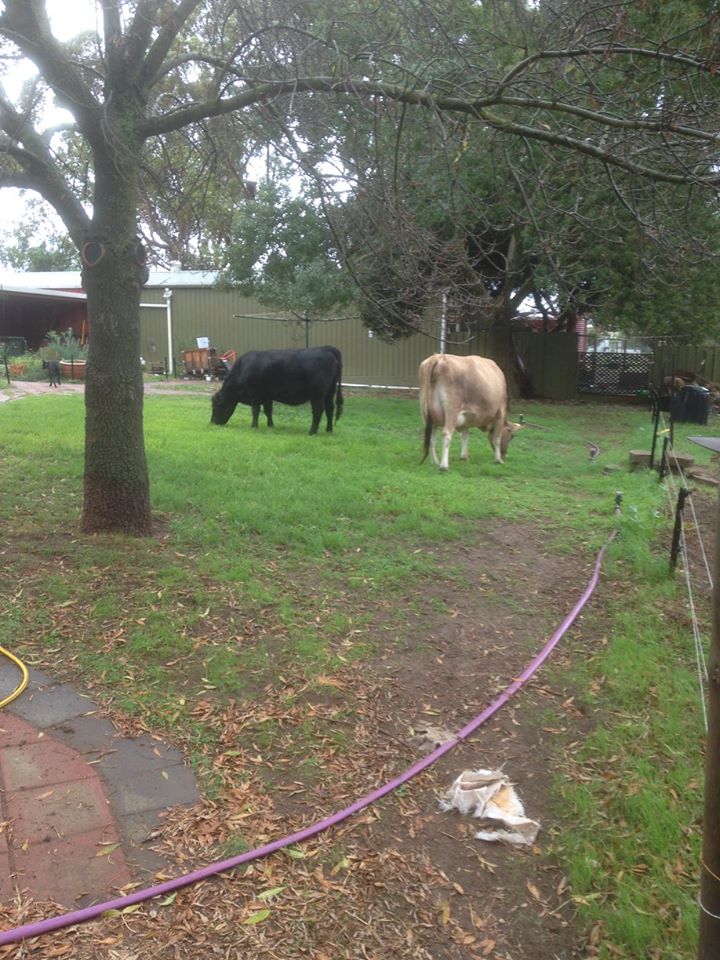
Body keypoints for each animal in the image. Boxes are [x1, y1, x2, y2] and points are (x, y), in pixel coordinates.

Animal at [210, 346, 344, 435]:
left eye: (215, 405)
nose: (212, 423)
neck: (243, 369)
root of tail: (326, 349)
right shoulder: (267, 396)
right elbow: (268, 411)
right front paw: (270, 425)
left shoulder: (255, 394)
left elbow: (255, 410)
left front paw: (254, 426)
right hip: (330, 392)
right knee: (330, 409)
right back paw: (329, 430)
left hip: (317, 394)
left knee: (318, 411)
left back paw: (312, 432)